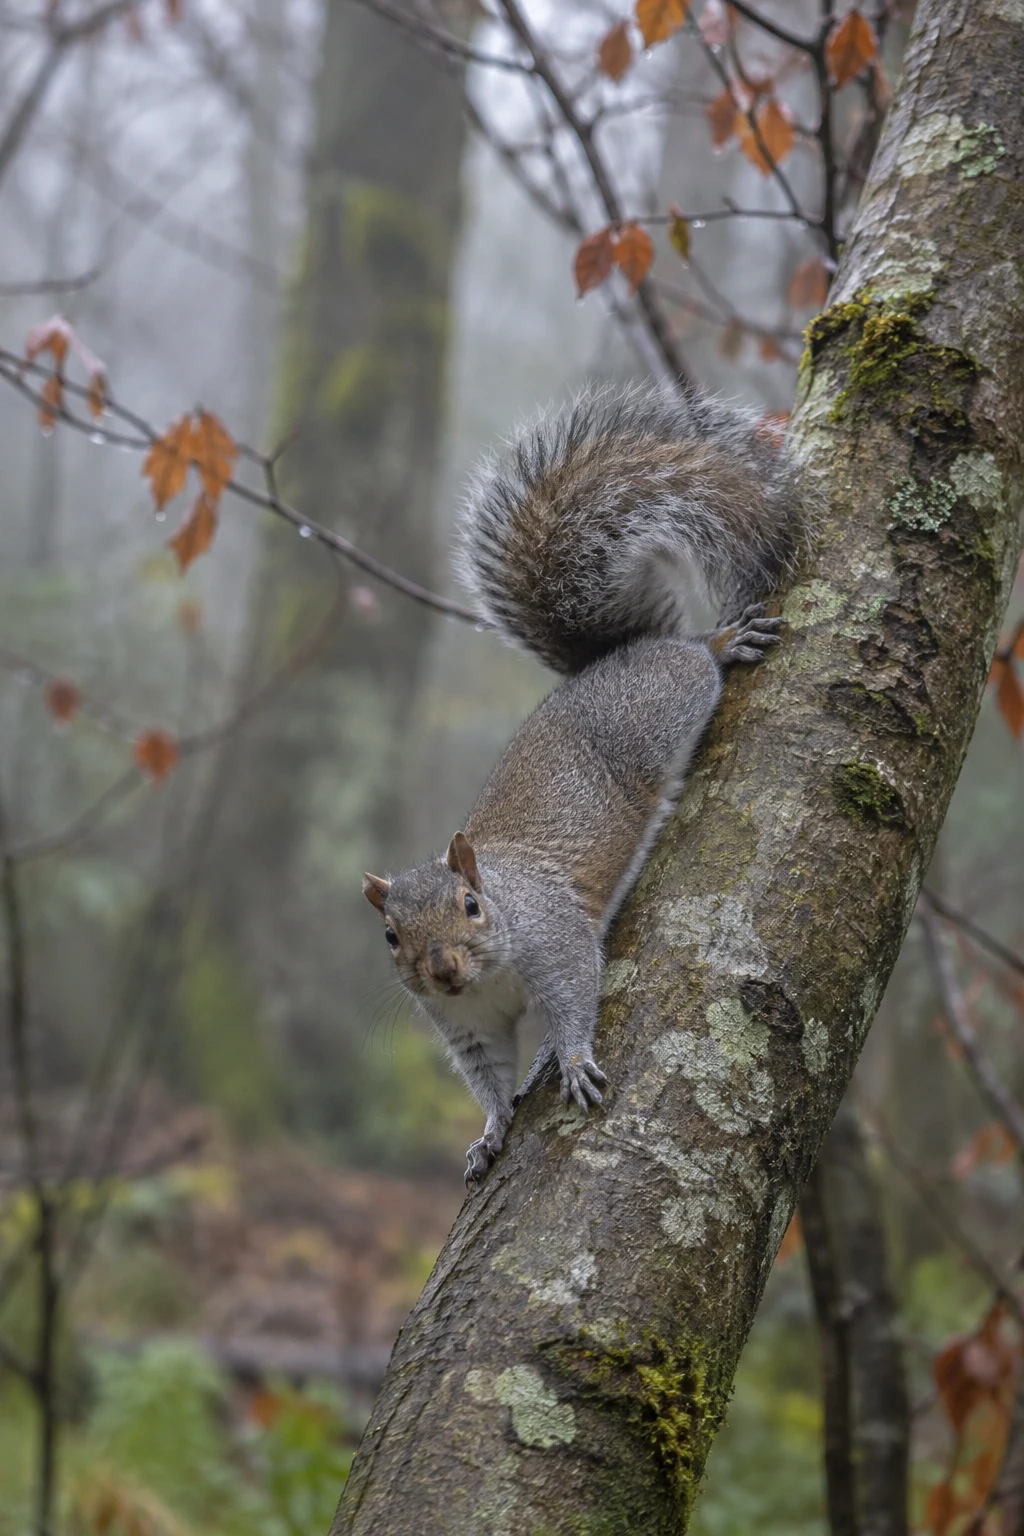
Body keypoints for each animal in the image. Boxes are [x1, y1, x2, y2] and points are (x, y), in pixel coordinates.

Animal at [362, 382, 805, 1184]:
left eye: (471, 905)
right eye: (390, 936)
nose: (443, 970)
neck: (489, 971)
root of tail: (621, 653)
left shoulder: (555, 937)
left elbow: (573, 998)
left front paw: (570, 1063)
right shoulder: (465, 1027)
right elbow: (487, 1075)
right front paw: (489, 1132)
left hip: (663, 703)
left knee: (691, 657)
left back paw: (722, 642)